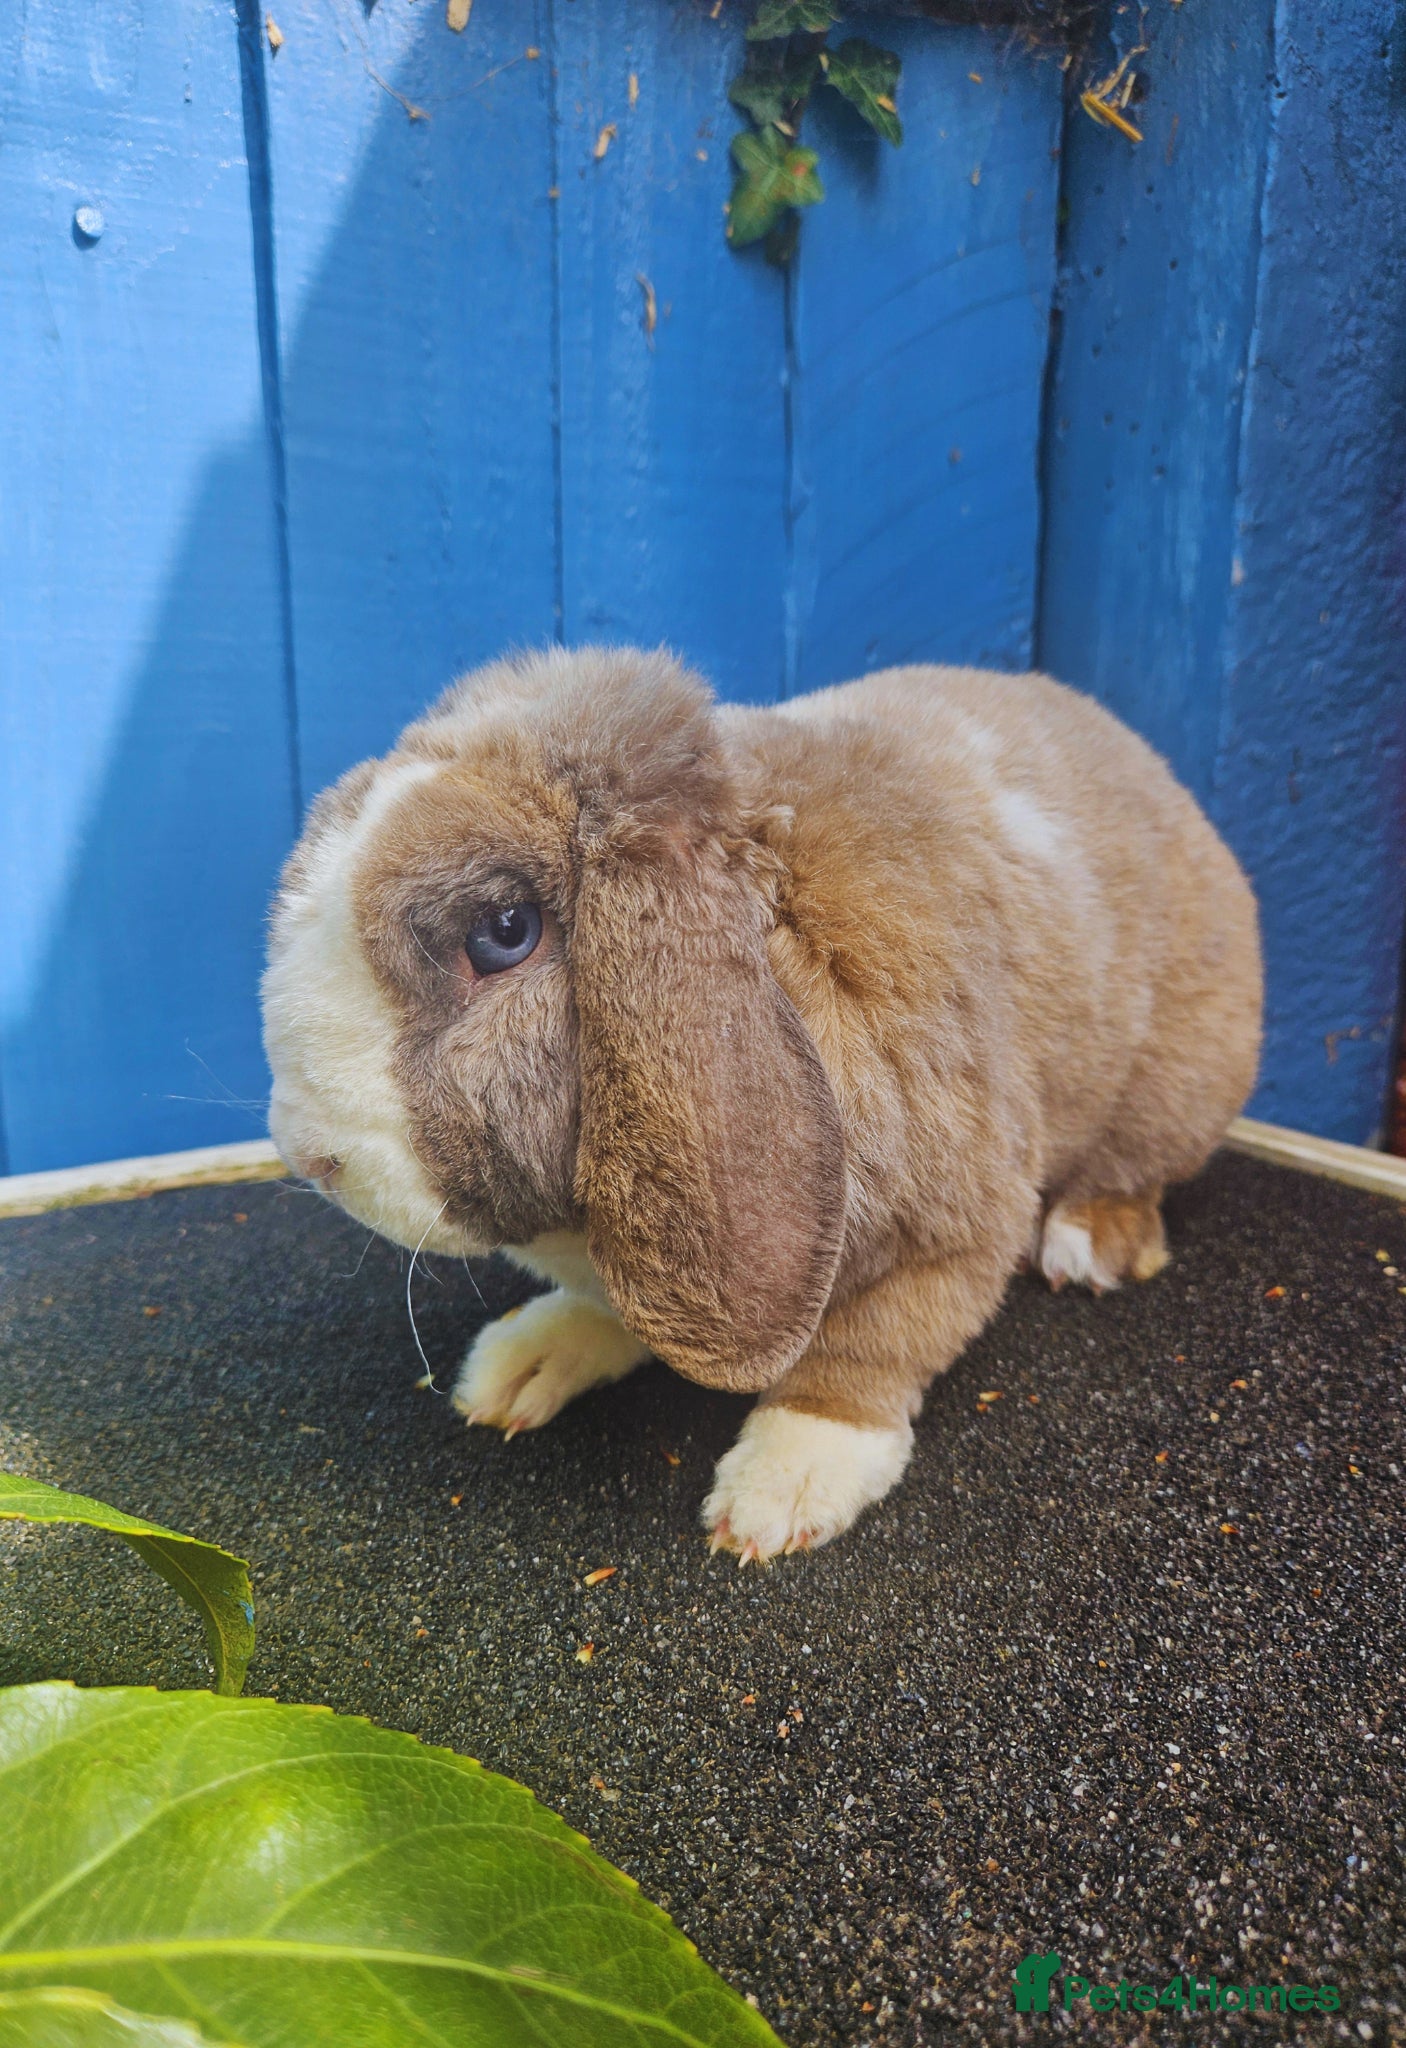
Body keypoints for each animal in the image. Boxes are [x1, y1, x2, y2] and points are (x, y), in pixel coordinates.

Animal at [262, 645, 1261, 1562]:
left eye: (503, 933)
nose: (308, 1155)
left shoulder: (953, 1227)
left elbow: (868, 1352)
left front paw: (784, 1489)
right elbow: (608, 1305)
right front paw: (523, 1363)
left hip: (1179, 1081)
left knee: (1134, 1168)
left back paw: (1089, 1241)